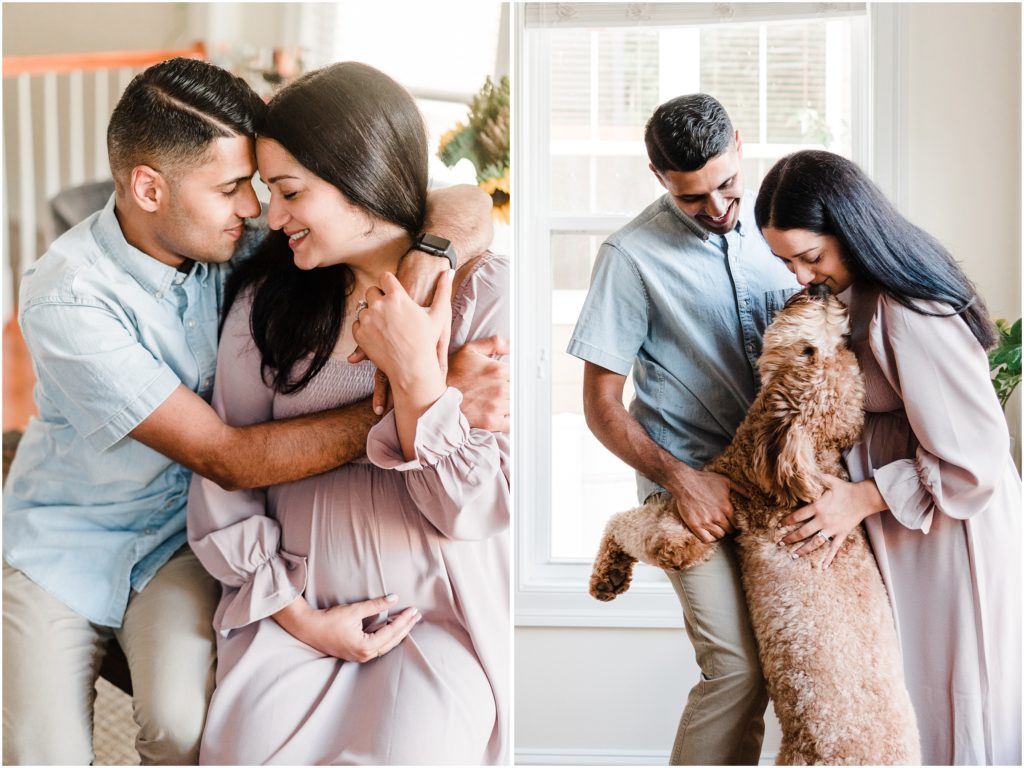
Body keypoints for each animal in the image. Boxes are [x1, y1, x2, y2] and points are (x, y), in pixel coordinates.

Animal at [593, 286, 921, 765]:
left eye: (809, 351)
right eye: (835, 345)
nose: (823, 290)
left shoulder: (705, 515)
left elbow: (635, 527)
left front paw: (608, 575)